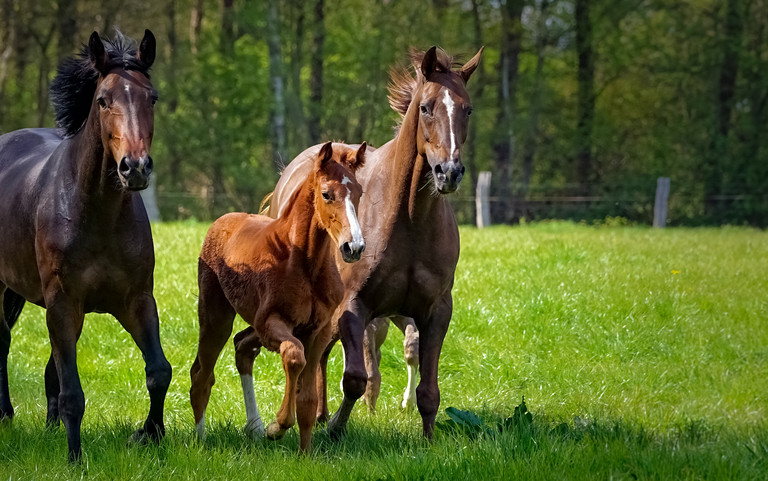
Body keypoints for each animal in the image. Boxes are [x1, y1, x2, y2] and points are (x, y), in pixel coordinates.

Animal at [0, 30, 170, 462]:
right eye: (103, 100)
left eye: (152, 97)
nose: (135, 167)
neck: (96, 213)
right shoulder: (62, 302)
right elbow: (73, 393)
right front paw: (75, 457)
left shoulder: (136, 300)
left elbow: (158, 372)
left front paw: (149, 435)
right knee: (3, 340)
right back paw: (6, 416)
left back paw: (47, 427)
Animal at [188, 141, 364, 452]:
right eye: (326, 194)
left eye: (359, 193)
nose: (353, 247)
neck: (304, 262)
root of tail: (223, 220)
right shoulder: (271, 323)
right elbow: (294, 356)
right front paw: (277, 427)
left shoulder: (318, 331)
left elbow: (308, 399)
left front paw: (305, 454)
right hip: (215, 317)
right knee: (202, 374)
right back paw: (201, 440)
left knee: (241, 349)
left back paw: (253, 427)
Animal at [270, 46, 484, 438]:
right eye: (426, 107)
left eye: (468, 109)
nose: (449, 172)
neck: (409, 221)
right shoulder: (354, 308)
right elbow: (356, 378)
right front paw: (335, 430)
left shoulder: (435, 311)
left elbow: (428, 389)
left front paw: (429, 439)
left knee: (321, 354)